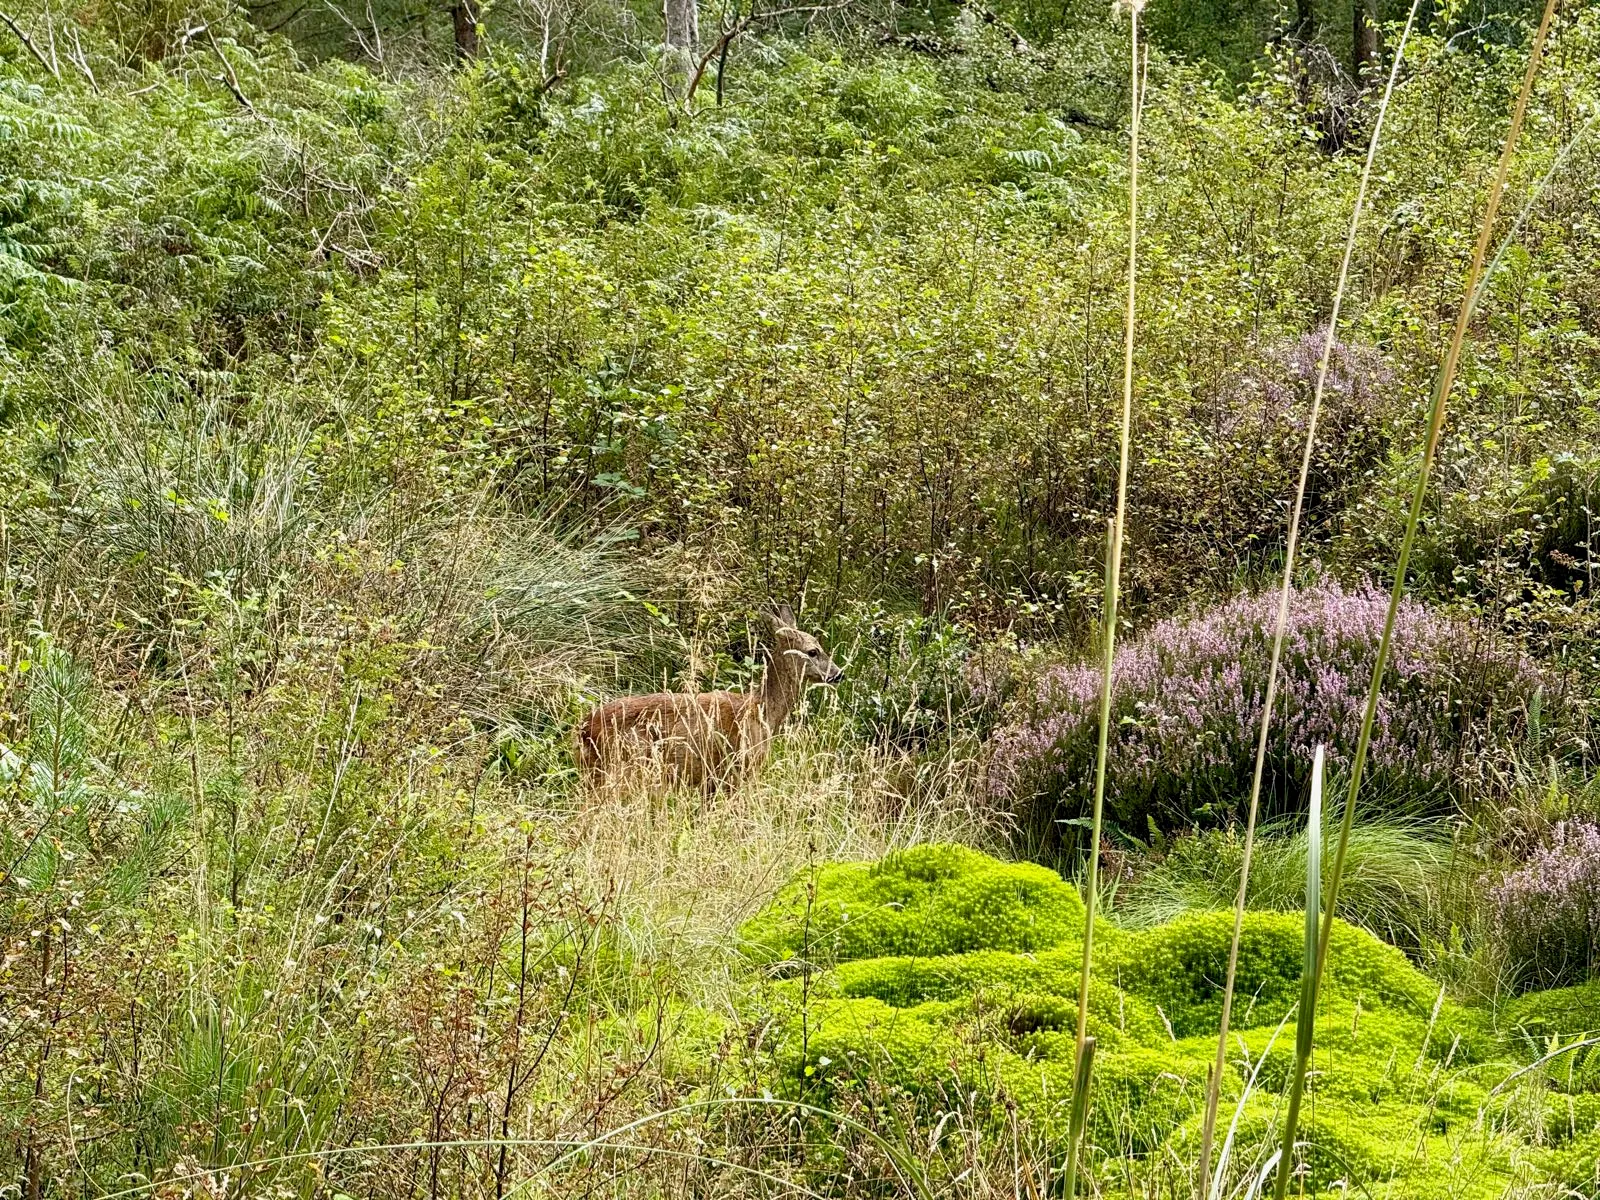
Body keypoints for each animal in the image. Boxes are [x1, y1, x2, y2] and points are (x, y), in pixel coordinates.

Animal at [576, 605, 842, 795]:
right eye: (813, 651)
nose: (838, 673)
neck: (761, 711)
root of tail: (583, 730)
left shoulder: (711, 781)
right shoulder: (738, 769)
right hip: (624, 767)